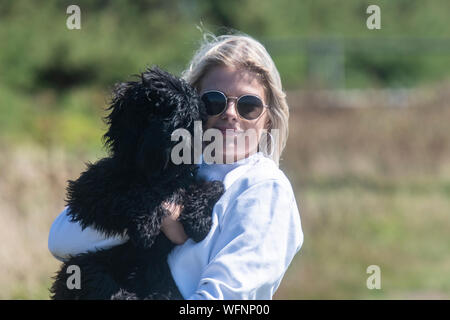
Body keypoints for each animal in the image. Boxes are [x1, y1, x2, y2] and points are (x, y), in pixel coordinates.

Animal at [50, 66, 225, 298]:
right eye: (150, 113)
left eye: (184, 114)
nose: (175, 137)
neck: (156, 173)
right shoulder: (87, 192)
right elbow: (133, 194)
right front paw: (146, 227)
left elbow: (212, 186)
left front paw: (198, 221)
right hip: (82, 266)